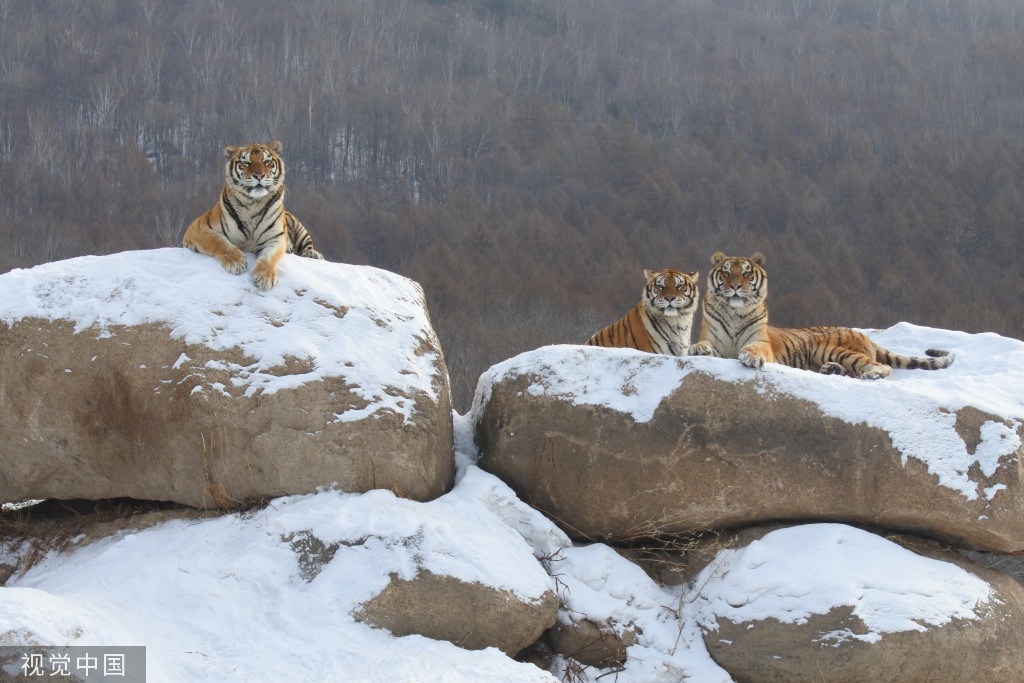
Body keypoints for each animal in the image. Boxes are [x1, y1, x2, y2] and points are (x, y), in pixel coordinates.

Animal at [182, 139, 321, 288]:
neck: (253, 204)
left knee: (307, 246)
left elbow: (269, 257)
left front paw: (265, 276)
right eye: (246, 163)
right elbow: (220, 241)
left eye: (266, 161)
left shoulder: (275, 238)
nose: (259, 176)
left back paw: (312, 254)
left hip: (299, 227)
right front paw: (236, 262)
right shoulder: (198, 228)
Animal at [688, 250, 950, 378]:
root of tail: (865, 335)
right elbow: (704, 344)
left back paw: (871, 374)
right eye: (725, 272)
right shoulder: (713, 338)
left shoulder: (761, 342)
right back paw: (832, 370)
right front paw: (697, 349)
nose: (734, 286)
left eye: (745, 273)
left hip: (831, 349)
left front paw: (751, 357)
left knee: (878, 367)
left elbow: (755, 348)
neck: (735, 312)